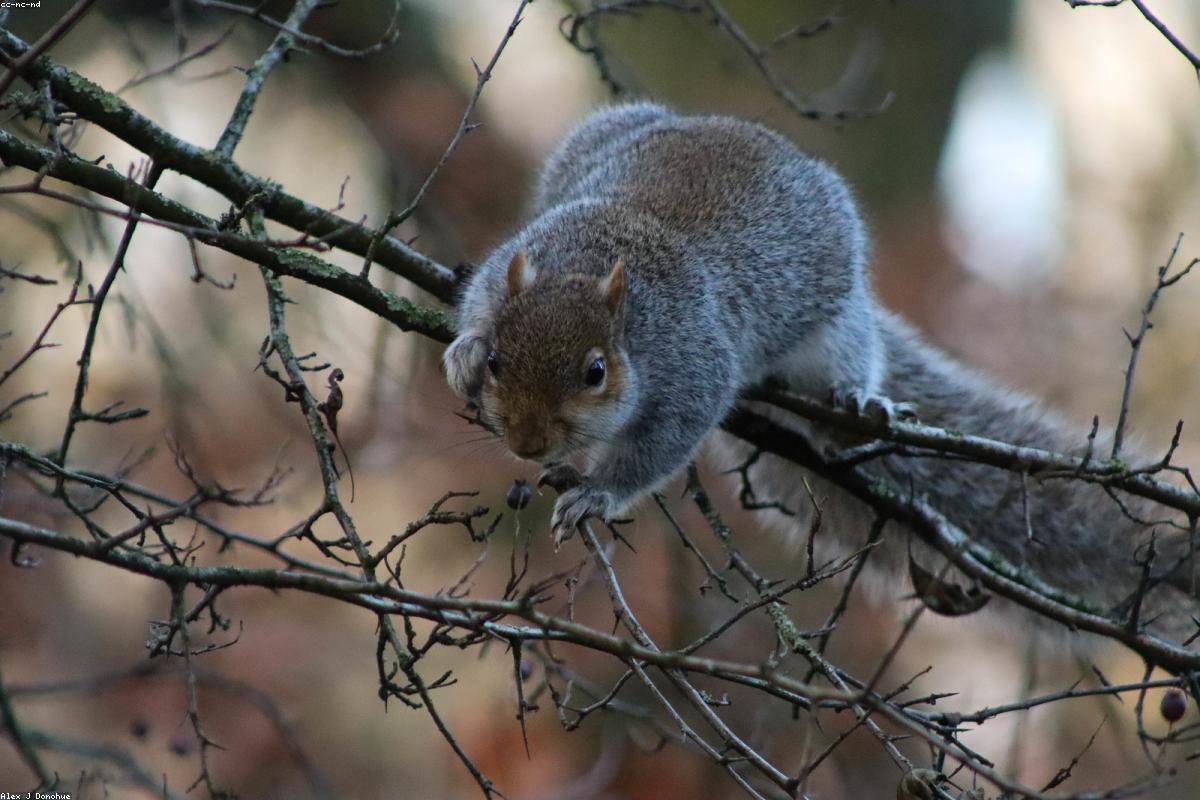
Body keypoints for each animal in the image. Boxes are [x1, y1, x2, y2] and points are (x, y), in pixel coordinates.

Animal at [443, 102, 1198, 643]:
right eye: (499, 360)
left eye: (596, 372)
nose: (528, 444)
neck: (591, 266)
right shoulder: (511, 263)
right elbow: (478, 297)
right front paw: (460, 351)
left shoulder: (693, 366)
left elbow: (661, 446)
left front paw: (598, 493)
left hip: (832, 322)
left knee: (851, 358)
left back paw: (856, 407)